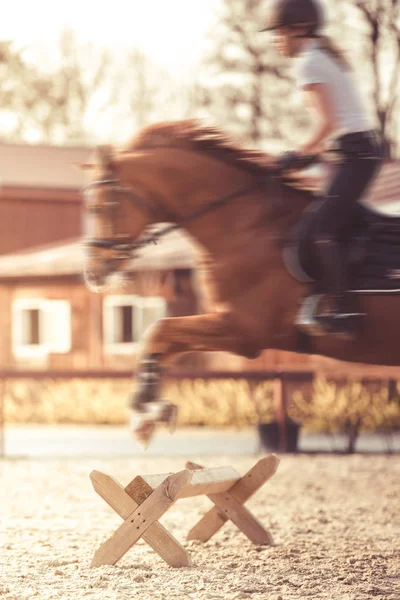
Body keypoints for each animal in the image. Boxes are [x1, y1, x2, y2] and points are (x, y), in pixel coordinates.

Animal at [79, 118, 400, 446]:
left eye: (97, 208)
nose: (93, 273)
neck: (246, 226)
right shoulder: (231, 326)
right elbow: (160, 340)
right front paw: (150, 408)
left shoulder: (243, 331)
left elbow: (159, 330)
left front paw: (143, 413)